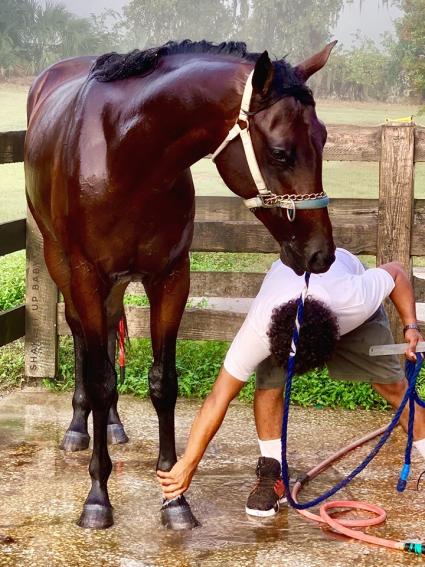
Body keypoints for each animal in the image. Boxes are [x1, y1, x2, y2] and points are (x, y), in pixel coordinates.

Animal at [24, 40, 336, 532]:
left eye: (323, 140)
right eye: (282, 152)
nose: (321, 254)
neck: (126, 155)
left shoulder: (171, 278)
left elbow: (162, 382)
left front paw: (175, 497)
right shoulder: (86, 274)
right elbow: (100, 380)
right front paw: (97, 498)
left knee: (110, 335)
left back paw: (111, 424)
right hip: (61, 264)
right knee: (80, 337)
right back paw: (78, 426)